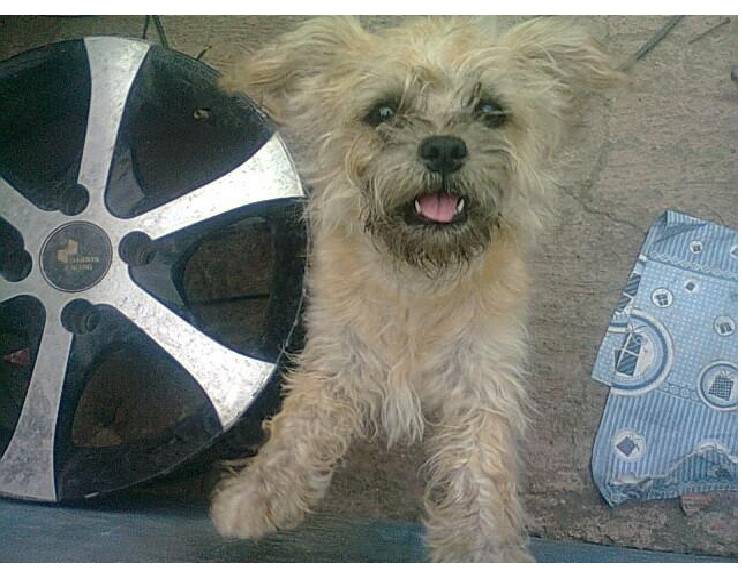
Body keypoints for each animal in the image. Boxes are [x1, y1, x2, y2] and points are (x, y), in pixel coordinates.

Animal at [210, 16, 621, 562]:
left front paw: (484, 544)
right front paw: (258, 495)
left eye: (491, 110)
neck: (419, 281)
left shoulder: (483, 375)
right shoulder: (337, 353)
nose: (444, 147)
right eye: (383, 111)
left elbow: (481, 464)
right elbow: (301, 424)